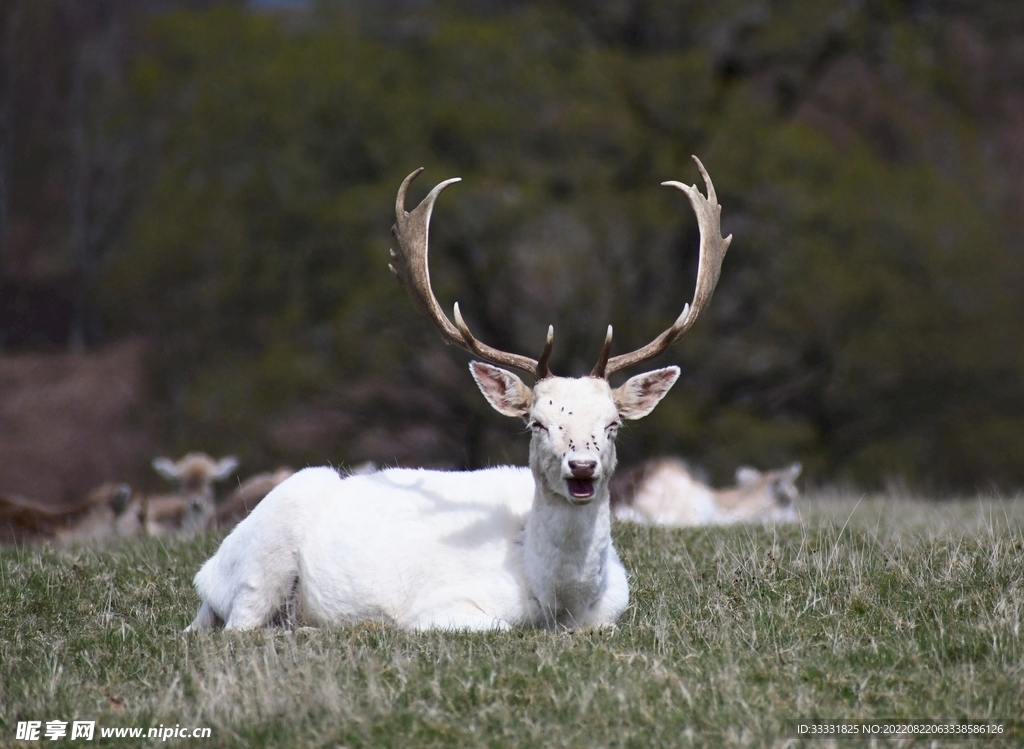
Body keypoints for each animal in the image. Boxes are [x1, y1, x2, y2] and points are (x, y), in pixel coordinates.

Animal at [186, 156, 732, 632]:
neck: (557, 603)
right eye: (536, 422)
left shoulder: (612, 608)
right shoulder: (440, 607)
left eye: (613, 423)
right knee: (240, 628)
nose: (582, 466)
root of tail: (207, 573)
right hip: (264, 557)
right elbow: (495, 627)